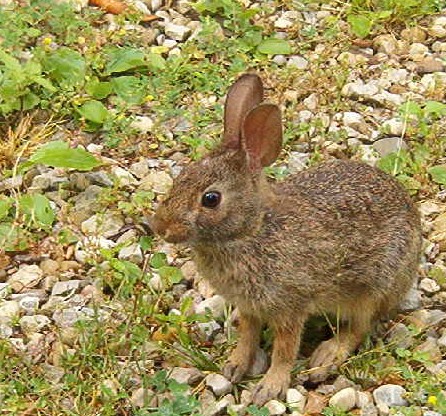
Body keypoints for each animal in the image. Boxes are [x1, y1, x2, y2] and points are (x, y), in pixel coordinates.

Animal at [151, 73, 422, 404]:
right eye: (181, 177)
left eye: (211, 199)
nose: (159, 226)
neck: (253, 230)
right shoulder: (249, 307)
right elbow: (248, 336)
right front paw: (234, 366)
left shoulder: (290, 306)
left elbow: (284, 350)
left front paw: (269, 388)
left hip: (372, 289)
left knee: (359, 327)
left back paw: (325, 357)